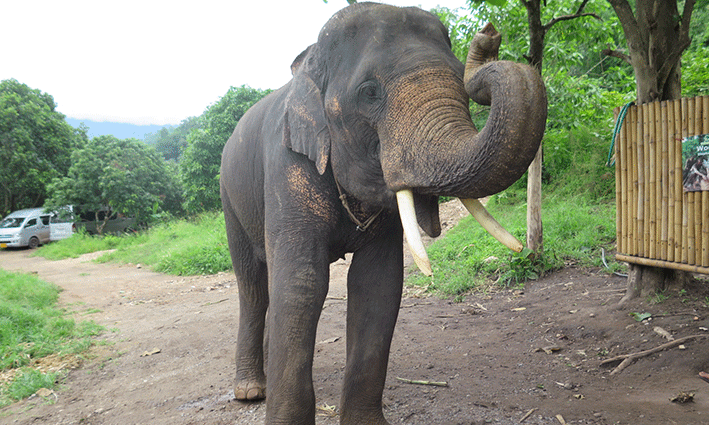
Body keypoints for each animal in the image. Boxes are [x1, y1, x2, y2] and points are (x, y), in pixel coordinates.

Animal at [219, 2, 546, 424]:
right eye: (369, 92)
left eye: (461, 76)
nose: (488, 35)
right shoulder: (286, 166)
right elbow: (301, 282)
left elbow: (378, 283)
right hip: (228, 199)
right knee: (254, 286)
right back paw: (249, 390)